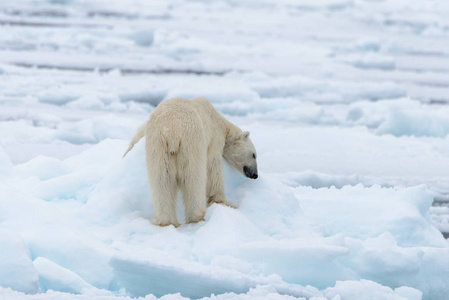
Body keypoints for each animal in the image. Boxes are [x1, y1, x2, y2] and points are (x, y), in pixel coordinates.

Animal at [122, 97, 258, 226]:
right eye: (254, 155)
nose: (255, 175)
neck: (219, 120)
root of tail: (171, 132)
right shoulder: (213, 138)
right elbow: (214, 167)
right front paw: (224, 201)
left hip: (158, 148)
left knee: (162, 181)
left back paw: (166, 221)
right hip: (191, 145)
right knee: (194, 180)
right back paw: (197, 217)